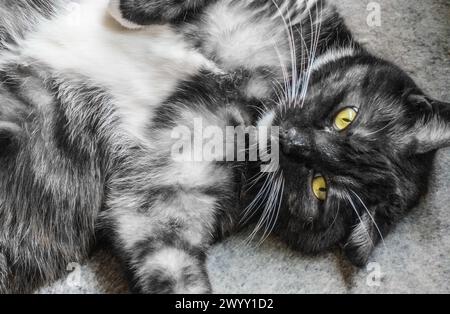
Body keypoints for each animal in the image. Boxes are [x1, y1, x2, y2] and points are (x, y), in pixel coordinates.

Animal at [0, 0, 448, 294]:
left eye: (320, 187)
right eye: (346, 117)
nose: (290, 140)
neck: (256, 100)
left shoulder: (162, 202)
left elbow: (169, 263)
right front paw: (128, 11)